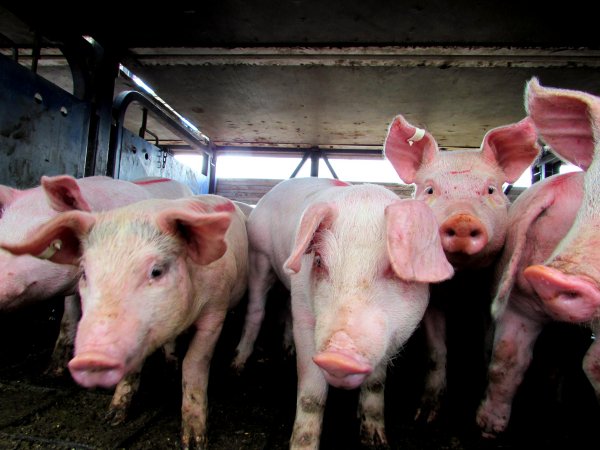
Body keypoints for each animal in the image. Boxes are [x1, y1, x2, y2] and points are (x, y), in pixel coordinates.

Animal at [0, 194, 248, 450]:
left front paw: (194, 443)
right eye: (84, 273)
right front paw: (112, 419)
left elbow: (194, 363)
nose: (92, 357)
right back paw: (170, 362)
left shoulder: (216, 311)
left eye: (156, 271)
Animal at [230, 178, 450, 448]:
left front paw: (376, 440)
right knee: (256, 310)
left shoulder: (388, 337)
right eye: (319, 262)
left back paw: (286, 350)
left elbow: (376, 384)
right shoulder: (305, 316)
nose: (338, 355)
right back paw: (237, 366)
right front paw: (302, 445)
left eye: (395, 269)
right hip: (258, 255)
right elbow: (311, 396)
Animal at [384, 113, 544, 422]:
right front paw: (424, 416)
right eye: (430, 189)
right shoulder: (433, 300)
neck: (461, 282)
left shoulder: (491, 294)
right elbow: (436, 351)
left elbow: (488, 345)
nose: (461, 220)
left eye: (490, 189)